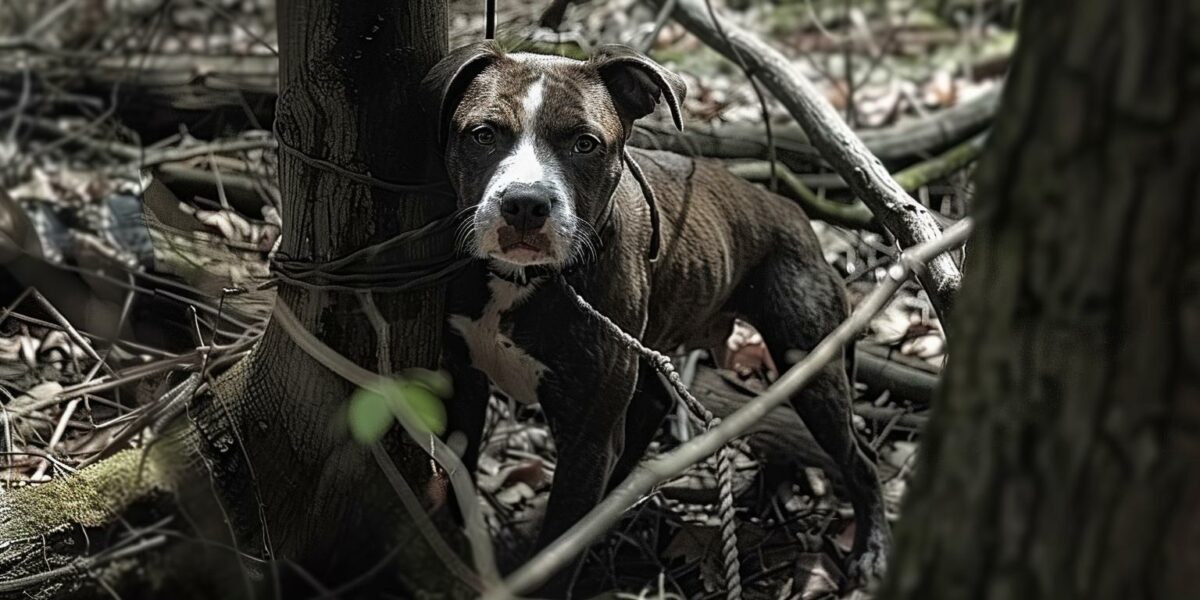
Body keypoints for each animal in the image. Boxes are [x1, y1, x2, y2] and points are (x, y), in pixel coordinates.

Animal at [422, 42, 892, 590]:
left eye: (585, 144)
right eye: (483, 133)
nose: (525, 204)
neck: (521, 282)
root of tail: (795, 213)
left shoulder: (587, 439)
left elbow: (559, 550)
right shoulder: (464, 388)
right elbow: (461, 485)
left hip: (815, 372)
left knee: (860, 460)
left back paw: (870, 549)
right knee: (655, 406)